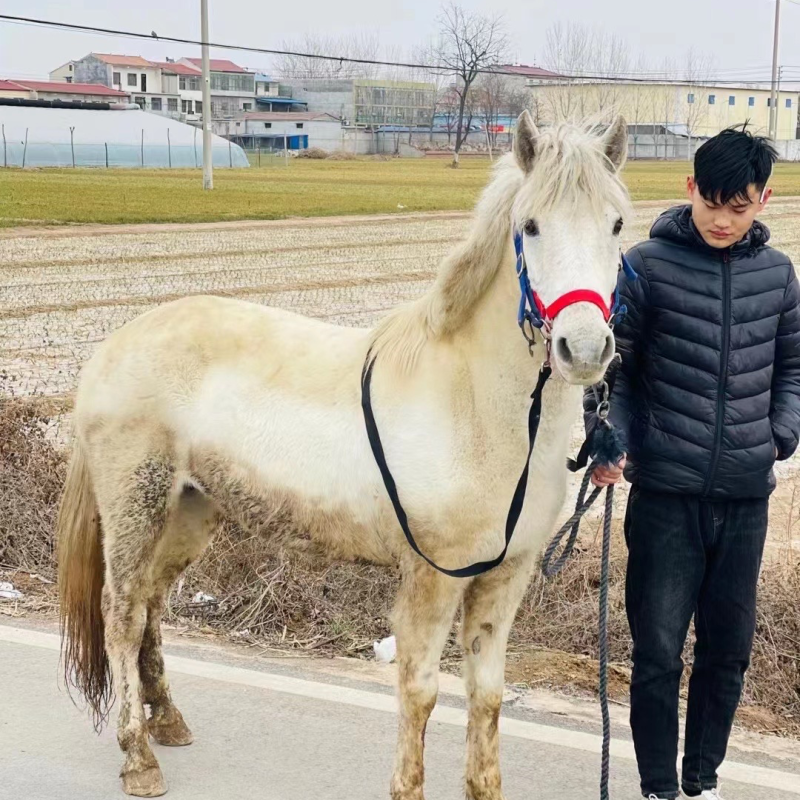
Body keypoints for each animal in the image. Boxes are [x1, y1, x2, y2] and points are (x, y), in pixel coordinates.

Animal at [57, 111, 632, 799]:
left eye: (617, 224)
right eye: (531, 225)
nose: (585, 349)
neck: (475, 406)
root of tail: (117, 342)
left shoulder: (505, 578)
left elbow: (487, 698)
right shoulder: (433, 579)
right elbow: (421, 693)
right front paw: (407, 787)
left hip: (190, 511)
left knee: (148, 606)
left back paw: (167, 721)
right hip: (134, 506)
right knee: (120, 613)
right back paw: (138, 756)